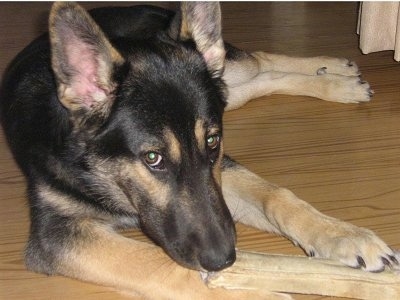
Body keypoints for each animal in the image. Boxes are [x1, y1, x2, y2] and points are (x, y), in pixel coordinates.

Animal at [1, 2, 398, 300]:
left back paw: (337, 75)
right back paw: (337, 78)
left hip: (224, 75)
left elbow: (276, 196)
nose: (224, 259)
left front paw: (343, 234)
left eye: (212, 142)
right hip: (227, 88)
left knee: (259, 61)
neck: (96, 168)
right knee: (261, 78)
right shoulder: (58, 235)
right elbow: (158, 263)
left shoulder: (218, 171)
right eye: (153, 158)